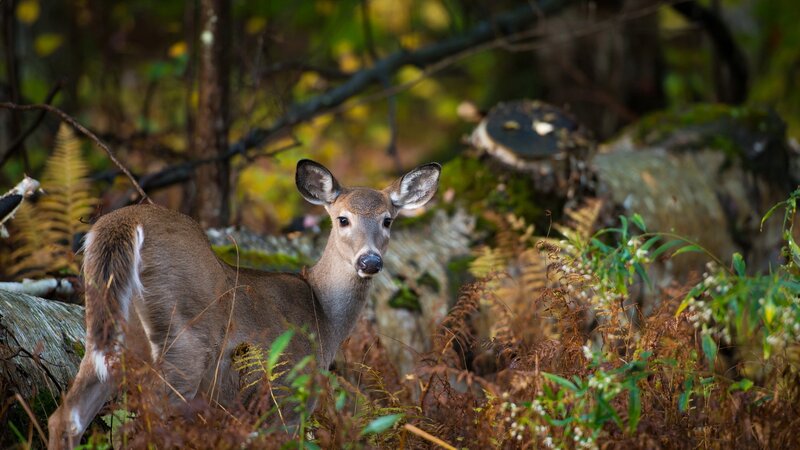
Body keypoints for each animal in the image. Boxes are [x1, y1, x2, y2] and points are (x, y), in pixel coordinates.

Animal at [47, 159, 441, 449]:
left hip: (107, 332)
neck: (322, 317)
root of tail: (122, 224)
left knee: (67, 416)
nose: (369, 261)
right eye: (343, 219)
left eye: (387, 220)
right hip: (185, 336)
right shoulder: (286, 393)